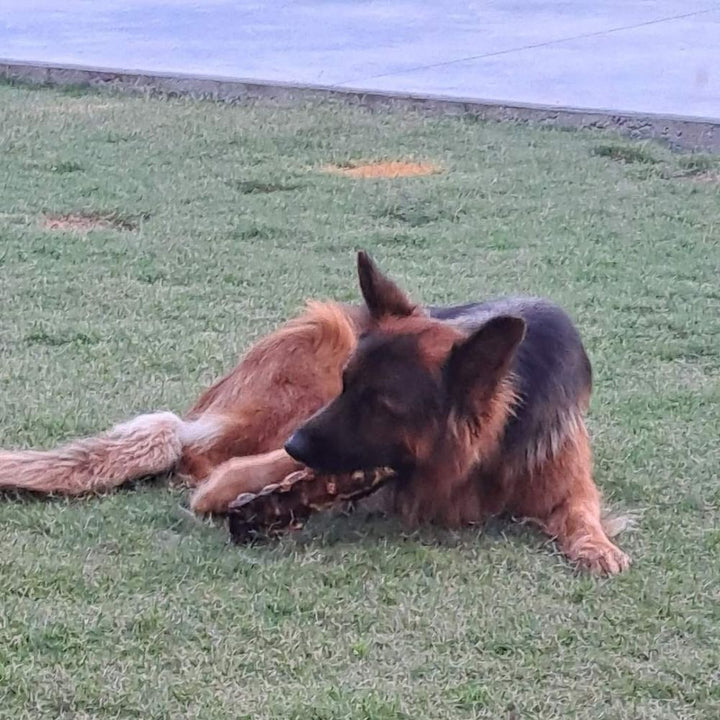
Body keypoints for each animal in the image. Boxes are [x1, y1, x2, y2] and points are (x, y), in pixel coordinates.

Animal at [0, 252, 632, 572]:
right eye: (347, 386)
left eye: (380, 403)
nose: (297, 447)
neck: (486, 452)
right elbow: (238, 482)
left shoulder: (567, 479)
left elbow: (582, 513)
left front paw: (598, 547)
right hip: (322, 336)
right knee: (202, 456)